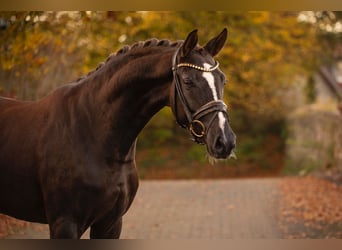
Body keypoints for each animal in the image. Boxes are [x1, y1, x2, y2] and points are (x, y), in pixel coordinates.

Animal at [0, 28, 235, 238]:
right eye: (188, 81)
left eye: (223, 79)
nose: (225, 141)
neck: (90, 133)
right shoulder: (65, 223)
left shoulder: (110, 223)